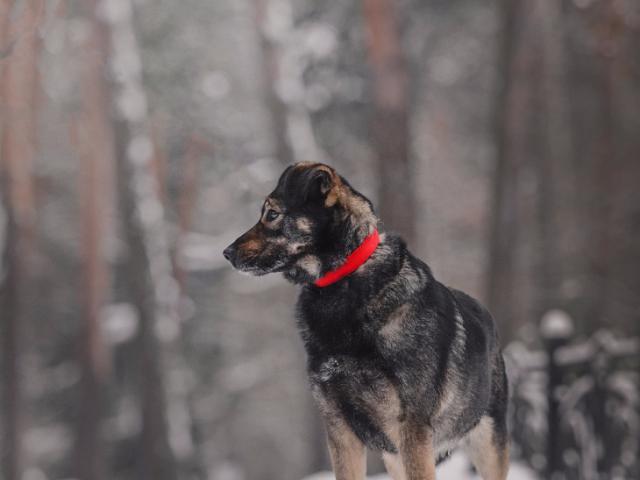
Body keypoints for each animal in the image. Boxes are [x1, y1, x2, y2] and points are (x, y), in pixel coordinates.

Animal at [225, 162, 510, 480]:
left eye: (272, 214)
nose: (227, 253)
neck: (345, 277)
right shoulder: (339, 429)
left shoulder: (413, 430)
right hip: (396, 457)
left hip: (487, 442)